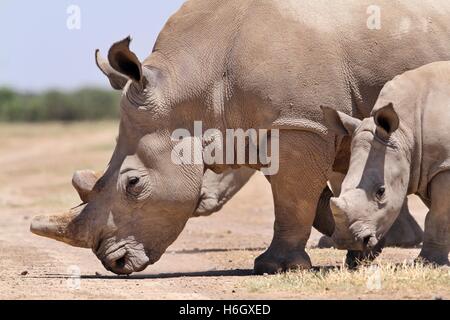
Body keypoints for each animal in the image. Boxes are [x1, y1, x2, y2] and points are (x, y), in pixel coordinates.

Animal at [322, 62, 450, 264]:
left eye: (381, 191)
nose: (347, 241)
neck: (406, 131)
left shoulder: (443, 165)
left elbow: (438, 215)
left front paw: (429, 263)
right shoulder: (425, 167)